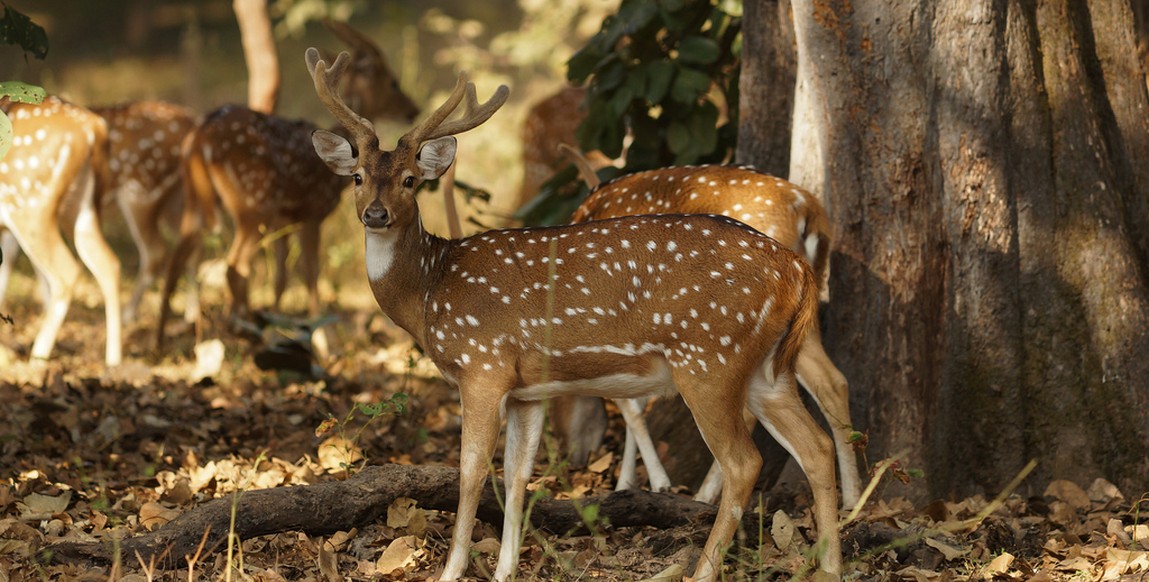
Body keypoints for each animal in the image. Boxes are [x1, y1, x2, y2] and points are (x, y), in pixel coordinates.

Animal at [155, 20, 420, 351]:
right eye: (393, 82)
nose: (414, 108)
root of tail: (200, 135)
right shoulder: (312, 212)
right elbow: (310, 272)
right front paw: (323, 343)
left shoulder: (283, 220)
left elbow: (280, 276)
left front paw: (279, 324)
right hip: (252, 201)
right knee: (234, 265)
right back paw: (243, 329)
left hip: (197, 198)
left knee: (177, 258)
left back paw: (160, 340)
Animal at [305, 47, 845, 580]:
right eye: (357, 177)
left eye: (410, 180)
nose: (375, 214)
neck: (430, 291)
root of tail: (796, 268)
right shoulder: (526, 390)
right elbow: (518, 473)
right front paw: (504, 570)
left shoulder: (483, 364)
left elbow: (472, 469)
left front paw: (452, 570)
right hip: (764, 368)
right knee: (816, 446)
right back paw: (831, 567)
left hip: (710, 357)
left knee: (744, 462)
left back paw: (704, 568)